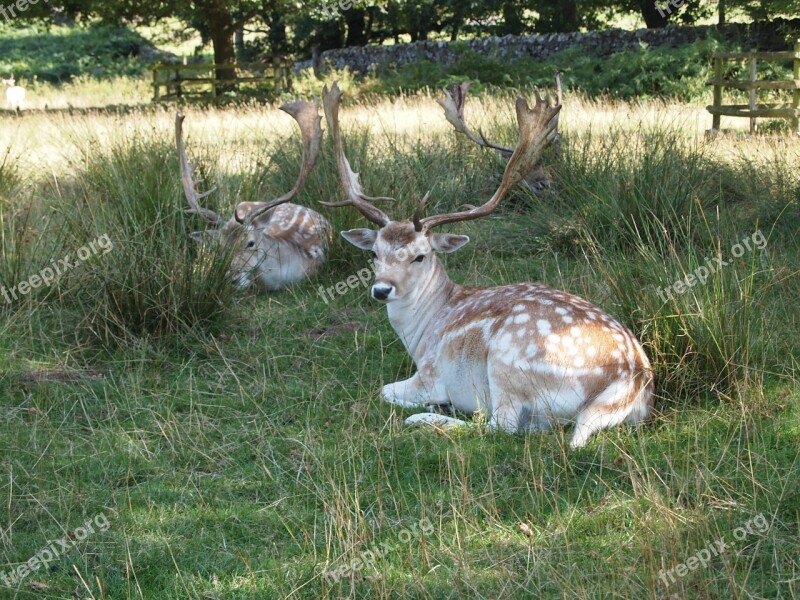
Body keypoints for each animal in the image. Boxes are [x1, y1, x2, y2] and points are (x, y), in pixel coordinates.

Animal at [322, 79, 652, 448]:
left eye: (421, 255)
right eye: (374, 253)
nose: (381, 289)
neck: (423, 332)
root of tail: (629, 381)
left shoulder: (430, 374)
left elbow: (384, 390)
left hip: (507, 364)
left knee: (499, 425)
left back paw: (425, 418)